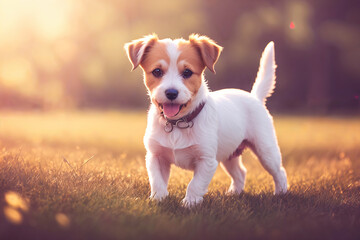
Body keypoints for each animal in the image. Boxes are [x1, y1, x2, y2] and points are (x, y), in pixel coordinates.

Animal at [125, 33, 288, 206]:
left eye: (187, 72)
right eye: (157, 71)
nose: (171, 93)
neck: (178, 123)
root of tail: (255, 97)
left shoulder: (207, 160)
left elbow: (195, 184)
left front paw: (190, 203)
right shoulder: (155, 156)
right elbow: (157, 181)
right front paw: (159, 199)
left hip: (266, 150)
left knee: (279, 171)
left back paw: (281, 193)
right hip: (229, 154)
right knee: (240, 172)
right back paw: (234, 193)